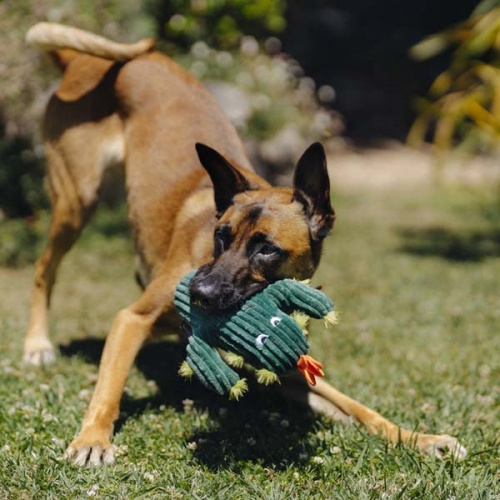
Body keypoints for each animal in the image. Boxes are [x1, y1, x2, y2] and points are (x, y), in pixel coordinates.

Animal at [23, 20, 466, 464]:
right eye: (221, 236)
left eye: (266, 249)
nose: (199, 293)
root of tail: (83, 63)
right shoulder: (131, 320)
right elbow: (109, 387)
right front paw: (93, 438)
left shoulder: (291, 367)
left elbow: (359, 408)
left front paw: (420, 438)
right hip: (77, 199)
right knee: (44, 269)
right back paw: (37, 344)